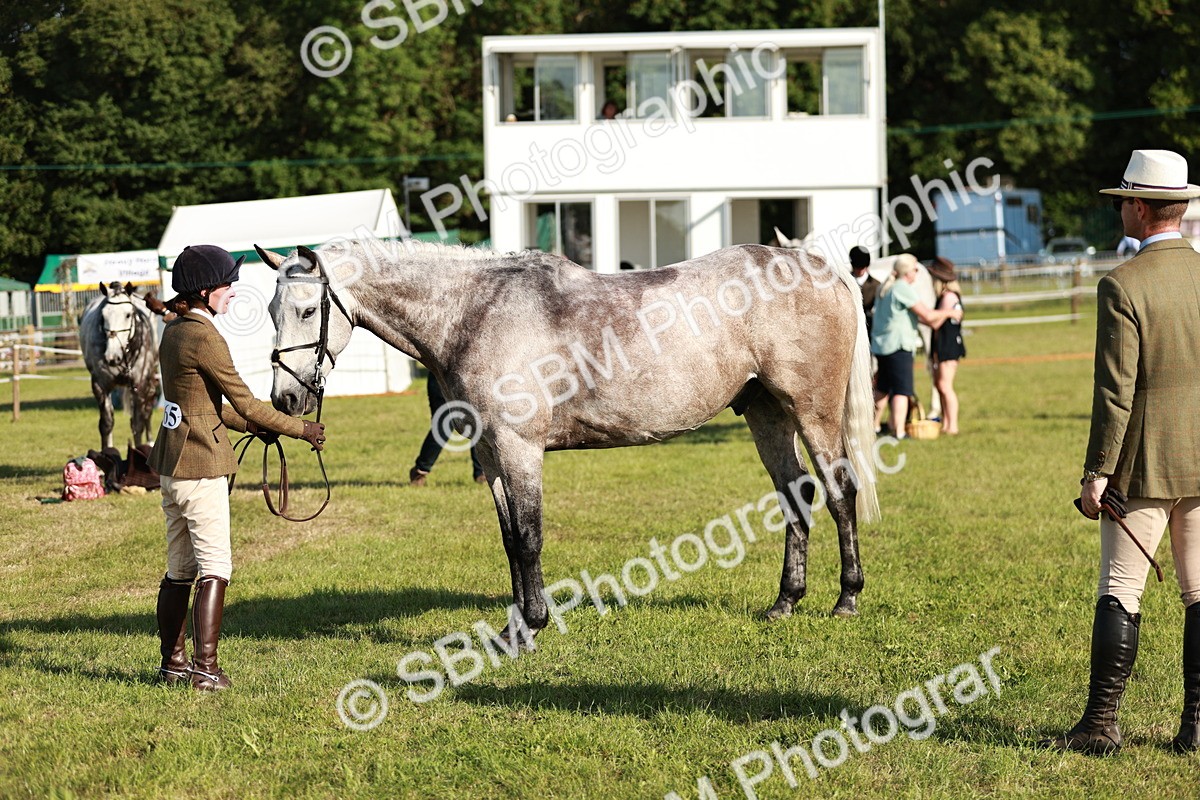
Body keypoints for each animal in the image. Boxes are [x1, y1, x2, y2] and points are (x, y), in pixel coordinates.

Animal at [79, 281, 161, 450]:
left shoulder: (139, 385)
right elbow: (106, 424)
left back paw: (150, 441)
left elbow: (137, 425)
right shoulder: (100, 386)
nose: (112, 356)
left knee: (148, 409)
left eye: (128, 315)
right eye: (104, 316)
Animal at [255, 240, 880, 646]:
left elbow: (530, 538)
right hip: (766, 413)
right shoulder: (492, 455)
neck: (476, 311)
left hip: (812, 411)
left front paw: (532, 626)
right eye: (269, 310)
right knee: (796, 496)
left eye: (307, 309)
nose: (285, 399)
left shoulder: (519, 449)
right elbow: (510, 540)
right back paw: (785, 603)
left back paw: (846, 599)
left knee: (839, 491)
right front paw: (512, 626)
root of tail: (819, 267)